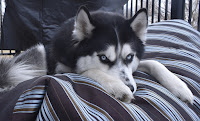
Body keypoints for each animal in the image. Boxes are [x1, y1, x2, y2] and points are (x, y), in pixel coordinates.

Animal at [0, 6, 194, 103]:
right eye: (103, 58)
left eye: (129, 57)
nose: (131, 87)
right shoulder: (59, 70)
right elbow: (89, 70)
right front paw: (119, 87)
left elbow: (155, 63)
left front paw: (180, 87)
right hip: (39, 51)